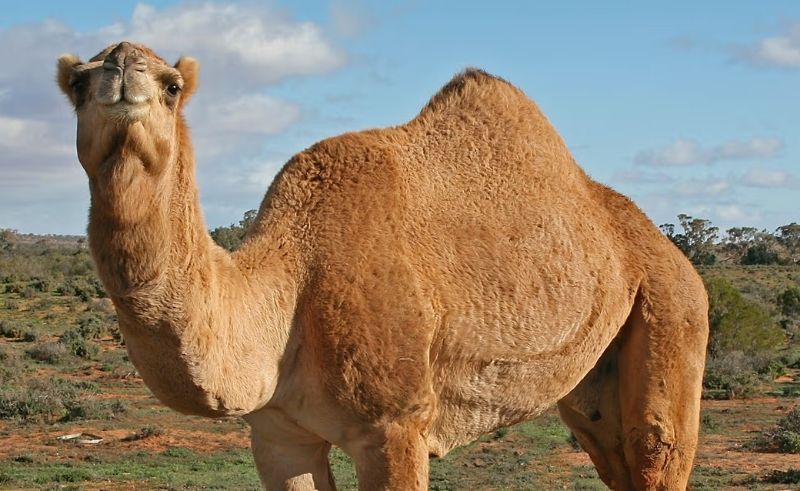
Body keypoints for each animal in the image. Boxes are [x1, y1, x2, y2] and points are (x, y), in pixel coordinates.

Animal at [56, 41, 709, 490]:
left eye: (171, 85)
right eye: (79, 81)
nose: (121, 67)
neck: (288, 288)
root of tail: (674, 255)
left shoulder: (395, 424)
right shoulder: (276, 433)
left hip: (672, 309)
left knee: (657, 447)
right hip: (593, 380)